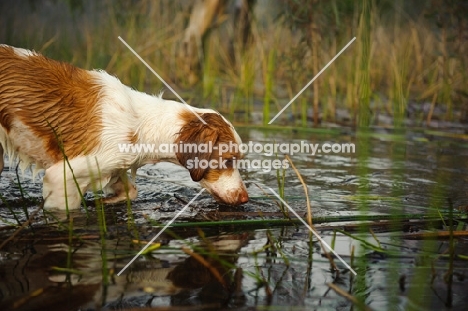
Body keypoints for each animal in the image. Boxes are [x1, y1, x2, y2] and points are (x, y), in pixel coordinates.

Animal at [0, 44, 249, 210]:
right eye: (228, 161)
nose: (245, 198)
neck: (138, 123)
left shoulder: (114, 167)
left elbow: (130, 192)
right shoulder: (61, 178)